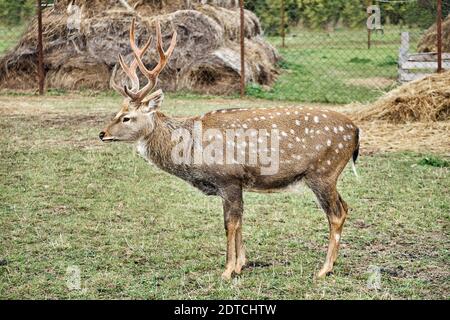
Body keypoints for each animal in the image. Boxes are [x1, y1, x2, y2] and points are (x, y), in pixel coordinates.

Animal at [100, 18, 360, 280]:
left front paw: (227, 270)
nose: (102, 133)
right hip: (328, 175)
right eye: (117, 112)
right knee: (346, 206)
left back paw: (324, 269)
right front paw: (241, 264)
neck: (192, 152)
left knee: (336, 213)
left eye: (127, 118)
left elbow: (230, 224)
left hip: (323, 171)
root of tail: (356, 131)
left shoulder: (228, 178)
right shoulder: (236, 184)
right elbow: (240, 220)